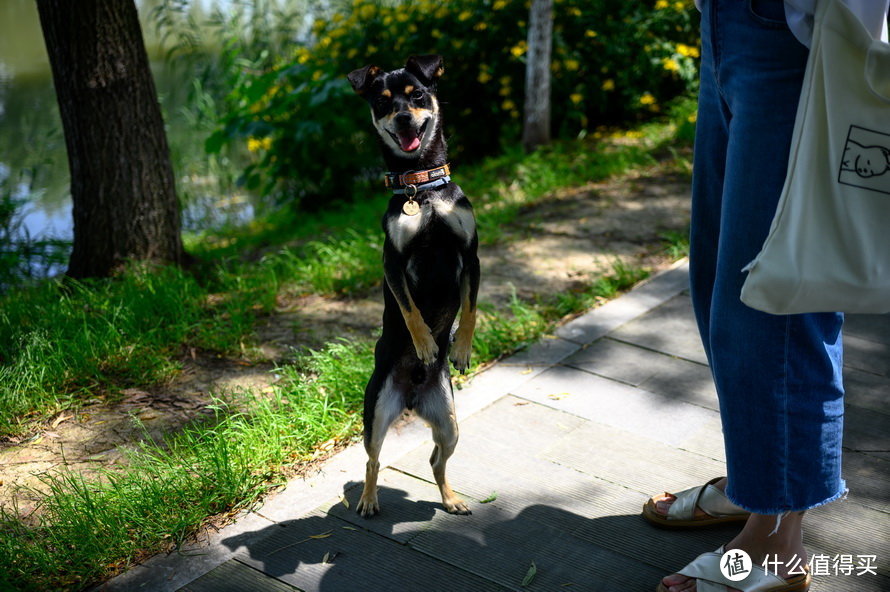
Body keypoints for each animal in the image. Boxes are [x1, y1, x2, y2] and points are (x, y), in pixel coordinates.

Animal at [348, 56, 478, 520]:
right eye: (383, 103)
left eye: (417, 95)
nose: (404, 117)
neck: (419, 186)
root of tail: (411, 399)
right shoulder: (393, 263)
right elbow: (409, 310)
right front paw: (424, 343)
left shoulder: (470, 255)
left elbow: (470, 309)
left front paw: (459, 348)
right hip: (376, 414)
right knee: (372, 461)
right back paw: (369, 500)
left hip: (449, 422)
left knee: (436, 460)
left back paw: (451, 499)